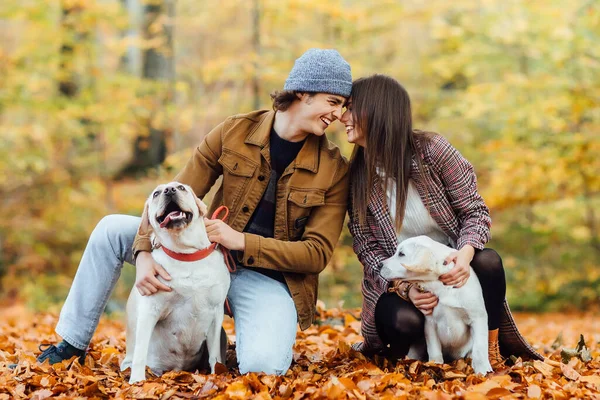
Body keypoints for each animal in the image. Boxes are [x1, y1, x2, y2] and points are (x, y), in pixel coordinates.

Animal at [122, 182, 232, 384]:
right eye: (156, 193)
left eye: (181, 188)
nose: (169, 191)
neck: (187, 254)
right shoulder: (149, 310)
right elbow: (140, 351)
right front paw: (137, 382)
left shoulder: (216, 312)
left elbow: (215, 355)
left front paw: (217, 375)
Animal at [382, 234, 490, 376]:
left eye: (401, 254)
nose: (379, 265)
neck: (440, 285)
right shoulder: (430, 322)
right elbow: (434, 350)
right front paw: (435, 366)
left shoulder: (478, 318)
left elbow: (480, 348)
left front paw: (483, 372)